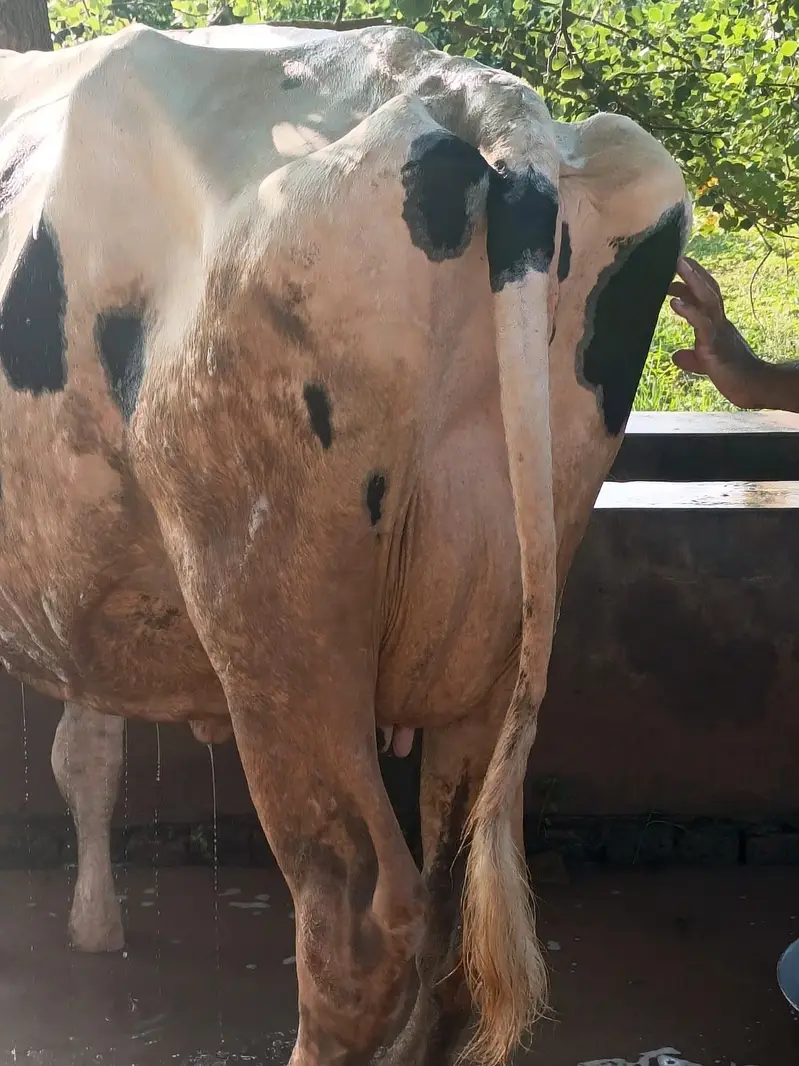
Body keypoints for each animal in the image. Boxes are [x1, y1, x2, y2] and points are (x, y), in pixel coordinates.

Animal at [0, 22, 690, 1066]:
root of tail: (465, 92)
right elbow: (88, 745)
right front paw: (95, 921)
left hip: (277, 616)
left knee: (357, 920)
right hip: (500, 616)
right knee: (451, 909)